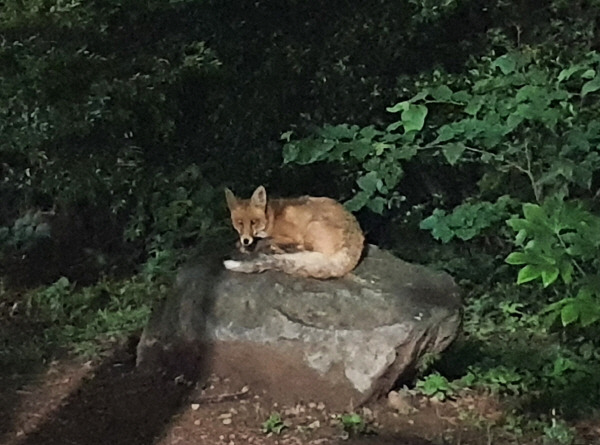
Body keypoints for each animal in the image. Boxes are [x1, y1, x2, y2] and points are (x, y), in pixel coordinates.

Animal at [224, 186, 366, 278]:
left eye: (254, 222)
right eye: (239, 223)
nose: (246, 240)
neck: (271, 218)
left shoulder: (290, 236)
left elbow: (266, 240)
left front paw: (255, 246)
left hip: (307, 224)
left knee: (303, 249)